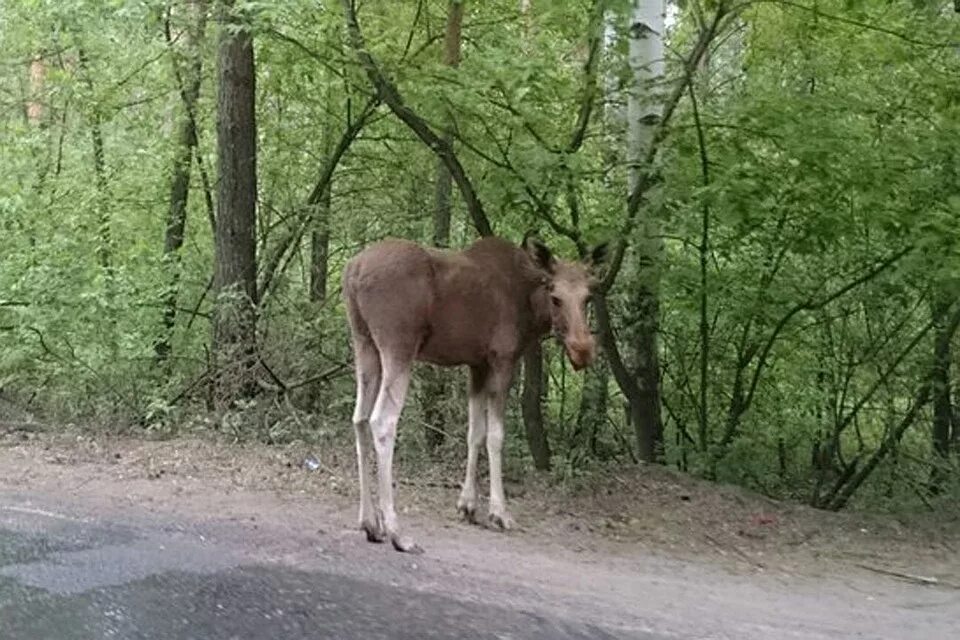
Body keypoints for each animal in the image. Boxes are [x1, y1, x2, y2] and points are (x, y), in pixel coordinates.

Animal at [342, 232, 604, 552]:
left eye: (588, 297)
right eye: (555, 297)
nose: (583, 350)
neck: (530, 309)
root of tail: (353, 272)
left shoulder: (476, 365)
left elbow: (474, 432)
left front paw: (467, 505)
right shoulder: (503, 360)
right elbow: (495, 436)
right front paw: (499, 512)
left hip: (364, 342)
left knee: (359, 418)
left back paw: (370, 523)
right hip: (398, 346)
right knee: (382, 421)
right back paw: (395, 531)